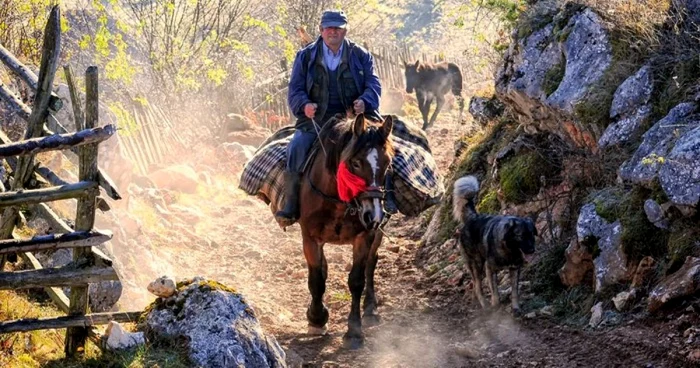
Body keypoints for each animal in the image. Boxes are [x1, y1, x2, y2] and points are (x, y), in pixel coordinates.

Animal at [294, 112, 394, 348]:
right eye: (355, 163)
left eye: (387, 163)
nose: (374, 214)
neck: (337, 201)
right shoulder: (310, 238)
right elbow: (317, 280)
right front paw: (317, 319)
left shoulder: (364, 236)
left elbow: (357, 280)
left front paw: (354, 331)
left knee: (371, 264)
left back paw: (371, 309)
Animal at [454, 175, 536, 314]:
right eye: (520, 236)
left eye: (531, 234)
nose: (531, 250)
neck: (509, 249)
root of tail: (473, 218)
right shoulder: (490, 269)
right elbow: (495, 292)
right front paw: (495, 306)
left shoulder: (515, 269)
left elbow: (515, 292)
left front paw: (516, 308)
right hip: (477, 264)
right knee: (478, 286)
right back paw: (484, 304)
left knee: (475, 284)